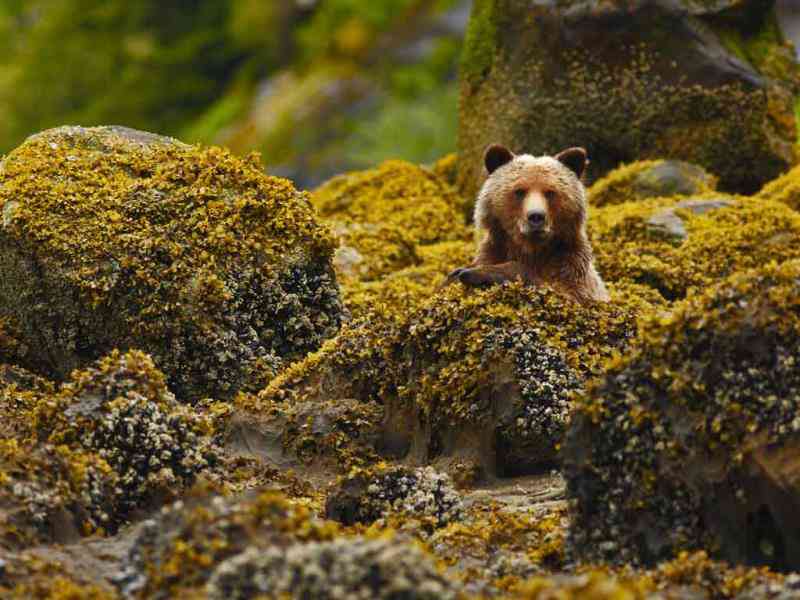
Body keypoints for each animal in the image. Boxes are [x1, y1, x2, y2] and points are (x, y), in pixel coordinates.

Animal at [446, 145, 608, 304]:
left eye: (550, 192)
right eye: (520, 191)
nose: (536, 216)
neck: (531, 249)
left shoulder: (572, 268)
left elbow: (565, 293)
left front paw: (474, 272)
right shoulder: (495, 249)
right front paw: (457, 273)